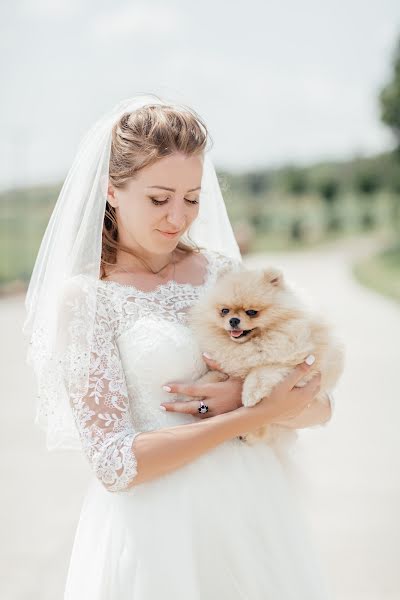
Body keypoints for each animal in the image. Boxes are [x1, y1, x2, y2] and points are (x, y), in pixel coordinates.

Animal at [186, 264, 346, 446]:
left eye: (252, 312)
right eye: (224, 311)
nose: (233, 320)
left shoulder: (301, 361)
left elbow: (262, 371)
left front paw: (250, 395)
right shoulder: (228, 364)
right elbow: (213, 376)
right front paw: (194, 390)